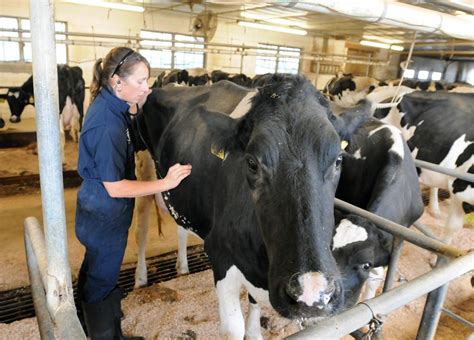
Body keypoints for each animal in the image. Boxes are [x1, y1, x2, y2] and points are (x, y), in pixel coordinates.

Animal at [132, 75, 348, 338]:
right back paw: (140, 278)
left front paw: (254, 329)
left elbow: (253, 310)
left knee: (181, 227)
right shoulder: (221, 257)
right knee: (141, 228)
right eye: (252, 163)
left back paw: (182, 266)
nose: (312, 292)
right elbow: (233, 329)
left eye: (339, 160)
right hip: (141, 168)